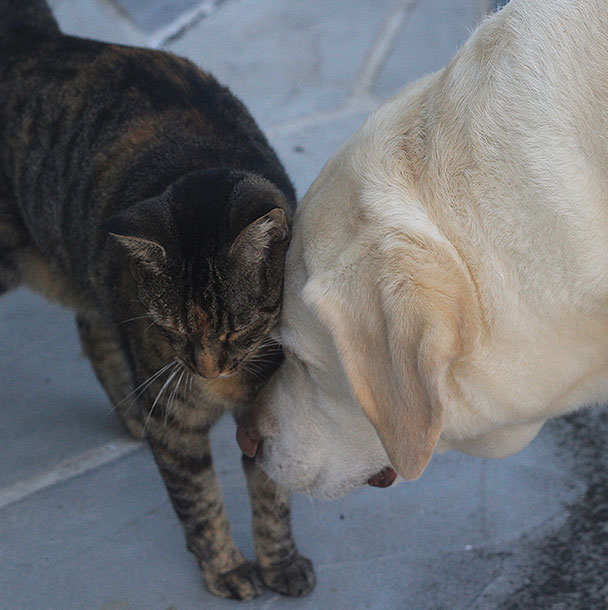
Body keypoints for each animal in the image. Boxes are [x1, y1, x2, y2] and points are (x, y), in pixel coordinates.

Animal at [0, 0, 314, 600]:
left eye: (238, 329)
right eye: (173, 330)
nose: (207, 367)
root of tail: (24, 35)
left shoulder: (269, 416)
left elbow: (272, 498)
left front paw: (280, 562)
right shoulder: (174, 425)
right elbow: (201, 504)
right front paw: (228, 569)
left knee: (92, 328)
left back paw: (127, 414)